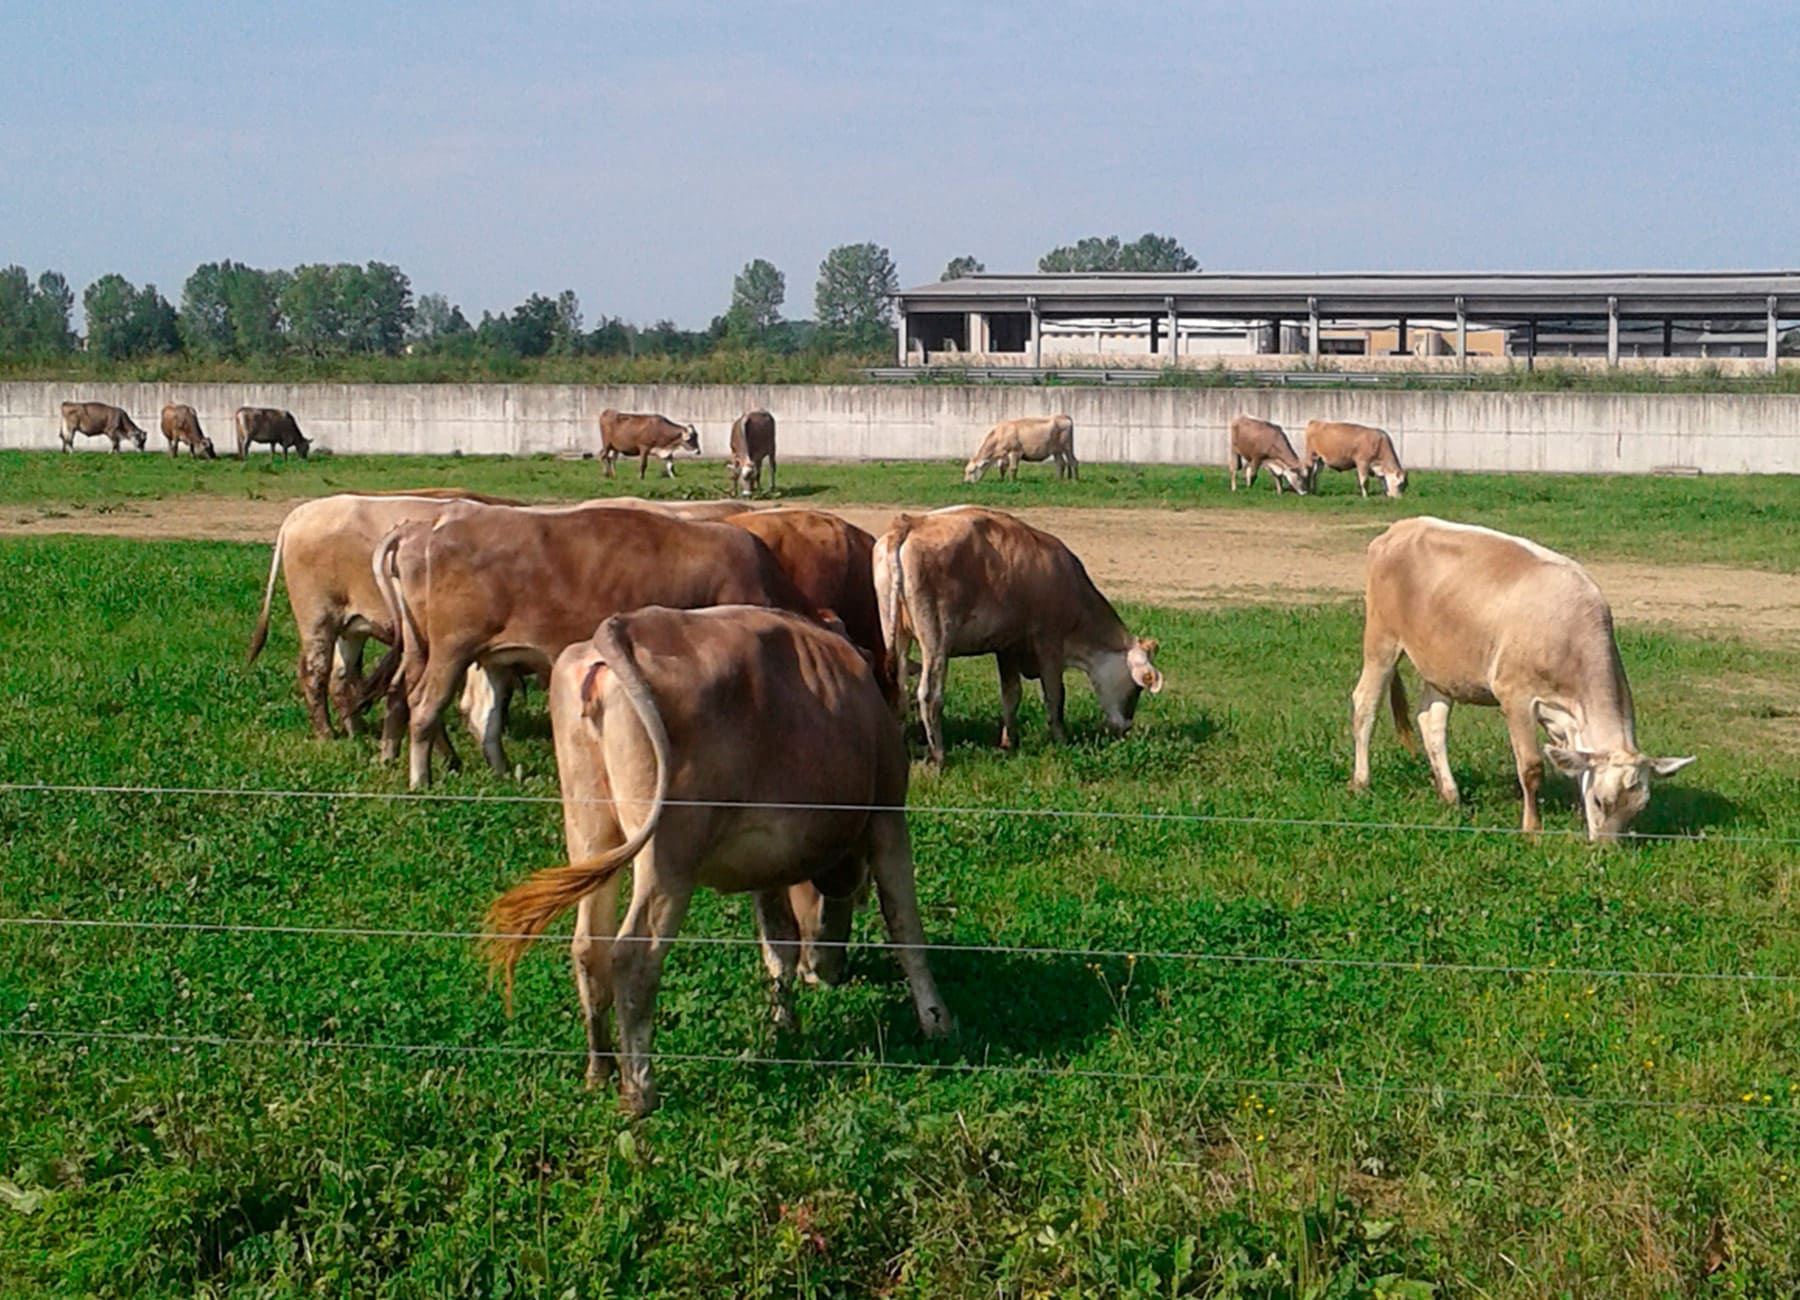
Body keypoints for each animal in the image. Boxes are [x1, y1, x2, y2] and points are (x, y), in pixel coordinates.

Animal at [243, 486, 522, 738]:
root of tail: (298, 515)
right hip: (318, 618)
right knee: (315, 672)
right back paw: (327, 734)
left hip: (350, 626)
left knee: (340, 676)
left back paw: (356, 731)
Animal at [369, 496, 813, 781]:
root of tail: (431, 528)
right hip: (451, 650)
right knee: (425, 707)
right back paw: (421, 778)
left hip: (480, 653)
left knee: (479, 715)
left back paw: (499, 772)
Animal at [478, 601, 957, 1109]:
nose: (829, 973)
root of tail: (621, 628)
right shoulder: (888, 814)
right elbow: (905, 925)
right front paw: (936, 1020)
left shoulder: (769, 861)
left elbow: (779, 944)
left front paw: (784, 1025)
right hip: (668, 855)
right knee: (632, 955)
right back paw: (640, 1089)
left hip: (589, 825)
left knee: (590, 945)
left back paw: (600, 1069)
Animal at [874, 500, 1166, 759]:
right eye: (1138, 687)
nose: (1126, 727)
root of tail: (910, 523)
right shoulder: (1049, 641)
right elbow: (1055, 694)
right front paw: (1060, 740)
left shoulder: (1007, 646)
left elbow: (1011, 695)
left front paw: (1009, 742)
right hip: (935, 639)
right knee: (929, 695)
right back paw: (938, 755)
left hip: (896, 633)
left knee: (898, 689)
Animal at [1353, 514, 1692, 839]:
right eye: (1600, 801)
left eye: (1637, 808)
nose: (1607, 848)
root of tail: (1400, 528)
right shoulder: (1515, 695)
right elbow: (1531, 768)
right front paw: (1532, 829)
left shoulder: (1565, 720)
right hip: (1382, 640)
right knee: (1365, 704)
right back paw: (1361, 782)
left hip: (1442, 666)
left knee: (1431, 721)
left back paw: (1450, 795)